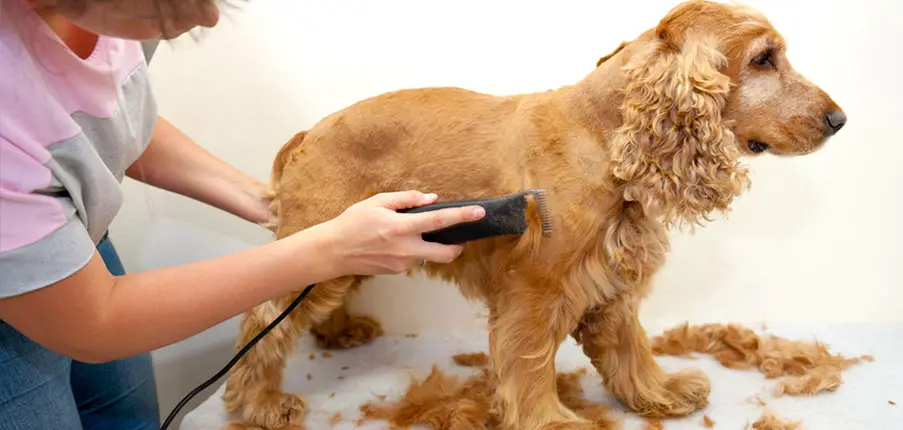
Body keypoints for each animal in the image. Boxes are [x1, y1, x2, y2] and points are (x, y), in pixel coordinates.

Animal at [222, 1, 844, 428]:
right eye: (764, 59)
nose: (838, 120)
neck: (603, 135)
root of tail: (309, 133)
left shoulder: (610, 282)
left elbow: (630, 347)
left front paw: (658, 394)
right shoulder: (533, 289)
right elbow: (528, 362)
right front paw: (552, 421)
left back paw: (342, 333)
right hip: (318, 242)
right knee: (263, 323)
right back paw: (260, 404)